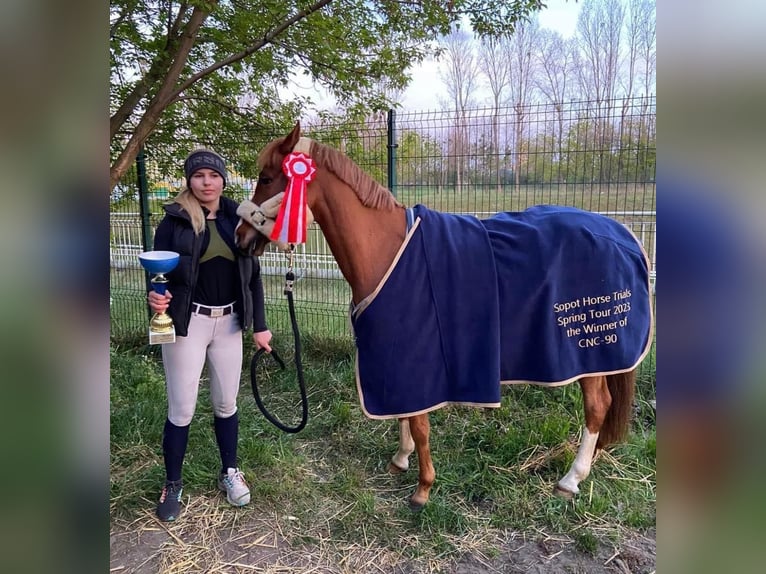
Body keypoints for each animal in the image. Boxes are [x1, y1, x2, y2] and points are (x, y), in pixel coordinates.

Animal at [236, 124, 656, 510]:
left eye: (267, 178)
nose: (240, 237)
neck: (386, 250)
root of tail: (622, 235)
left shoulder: (419, 358)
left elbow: (420, 425)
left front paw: (423, 488)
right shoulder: (395, 358)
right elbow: (404, 414)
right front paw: (400, 460)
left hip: (590, 351)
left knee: (596, 407)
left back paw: (571, 479)